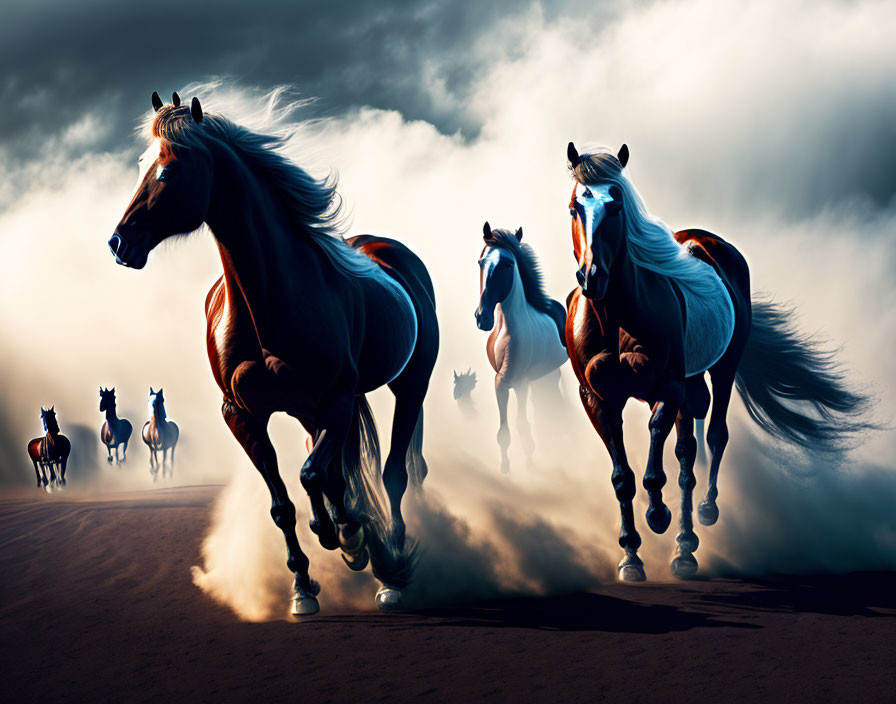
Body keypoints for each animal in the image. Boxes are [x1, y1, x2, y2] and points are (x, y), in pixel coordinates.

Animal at [108, 92, 438, 616]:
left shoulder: (336, 399)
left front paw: (349, 539)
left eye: (170, 170)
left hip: (408, 385)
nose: (120, 242)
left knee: (392, 475)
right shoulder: (242, 414)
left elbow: (311, 475)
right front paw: (304, 585)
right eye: (142, 164)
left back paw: (389, 568)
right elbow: (285, 501)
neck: (267, 301)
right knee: (340, 475)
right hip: (312, 410)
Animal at [476, 220, 568, 472]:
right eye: (481, 262)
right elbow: (504, 432)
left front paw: (529, 465)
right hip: (545, 373)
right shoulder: (500, 382)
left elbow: (522, 425)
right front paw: (505, 468)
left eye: (507, 264)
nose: (482, 318)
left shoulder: (519, 383)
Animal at [568, 140, 868, 580]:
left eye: (617, 205)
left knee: (712, 438)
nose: (593, 277)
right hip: (692, 383)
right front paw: (630, 556)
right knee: (688, 454)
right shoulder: (597, 398)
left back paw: (700, 522)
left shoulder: (668, 386)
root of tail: (707, 240)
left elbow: (658, 455)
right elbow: (623, 476)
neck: (616, 316)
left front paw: (658, 515)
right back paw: (684, 549)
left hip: (723, 367)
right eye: (576, 206)